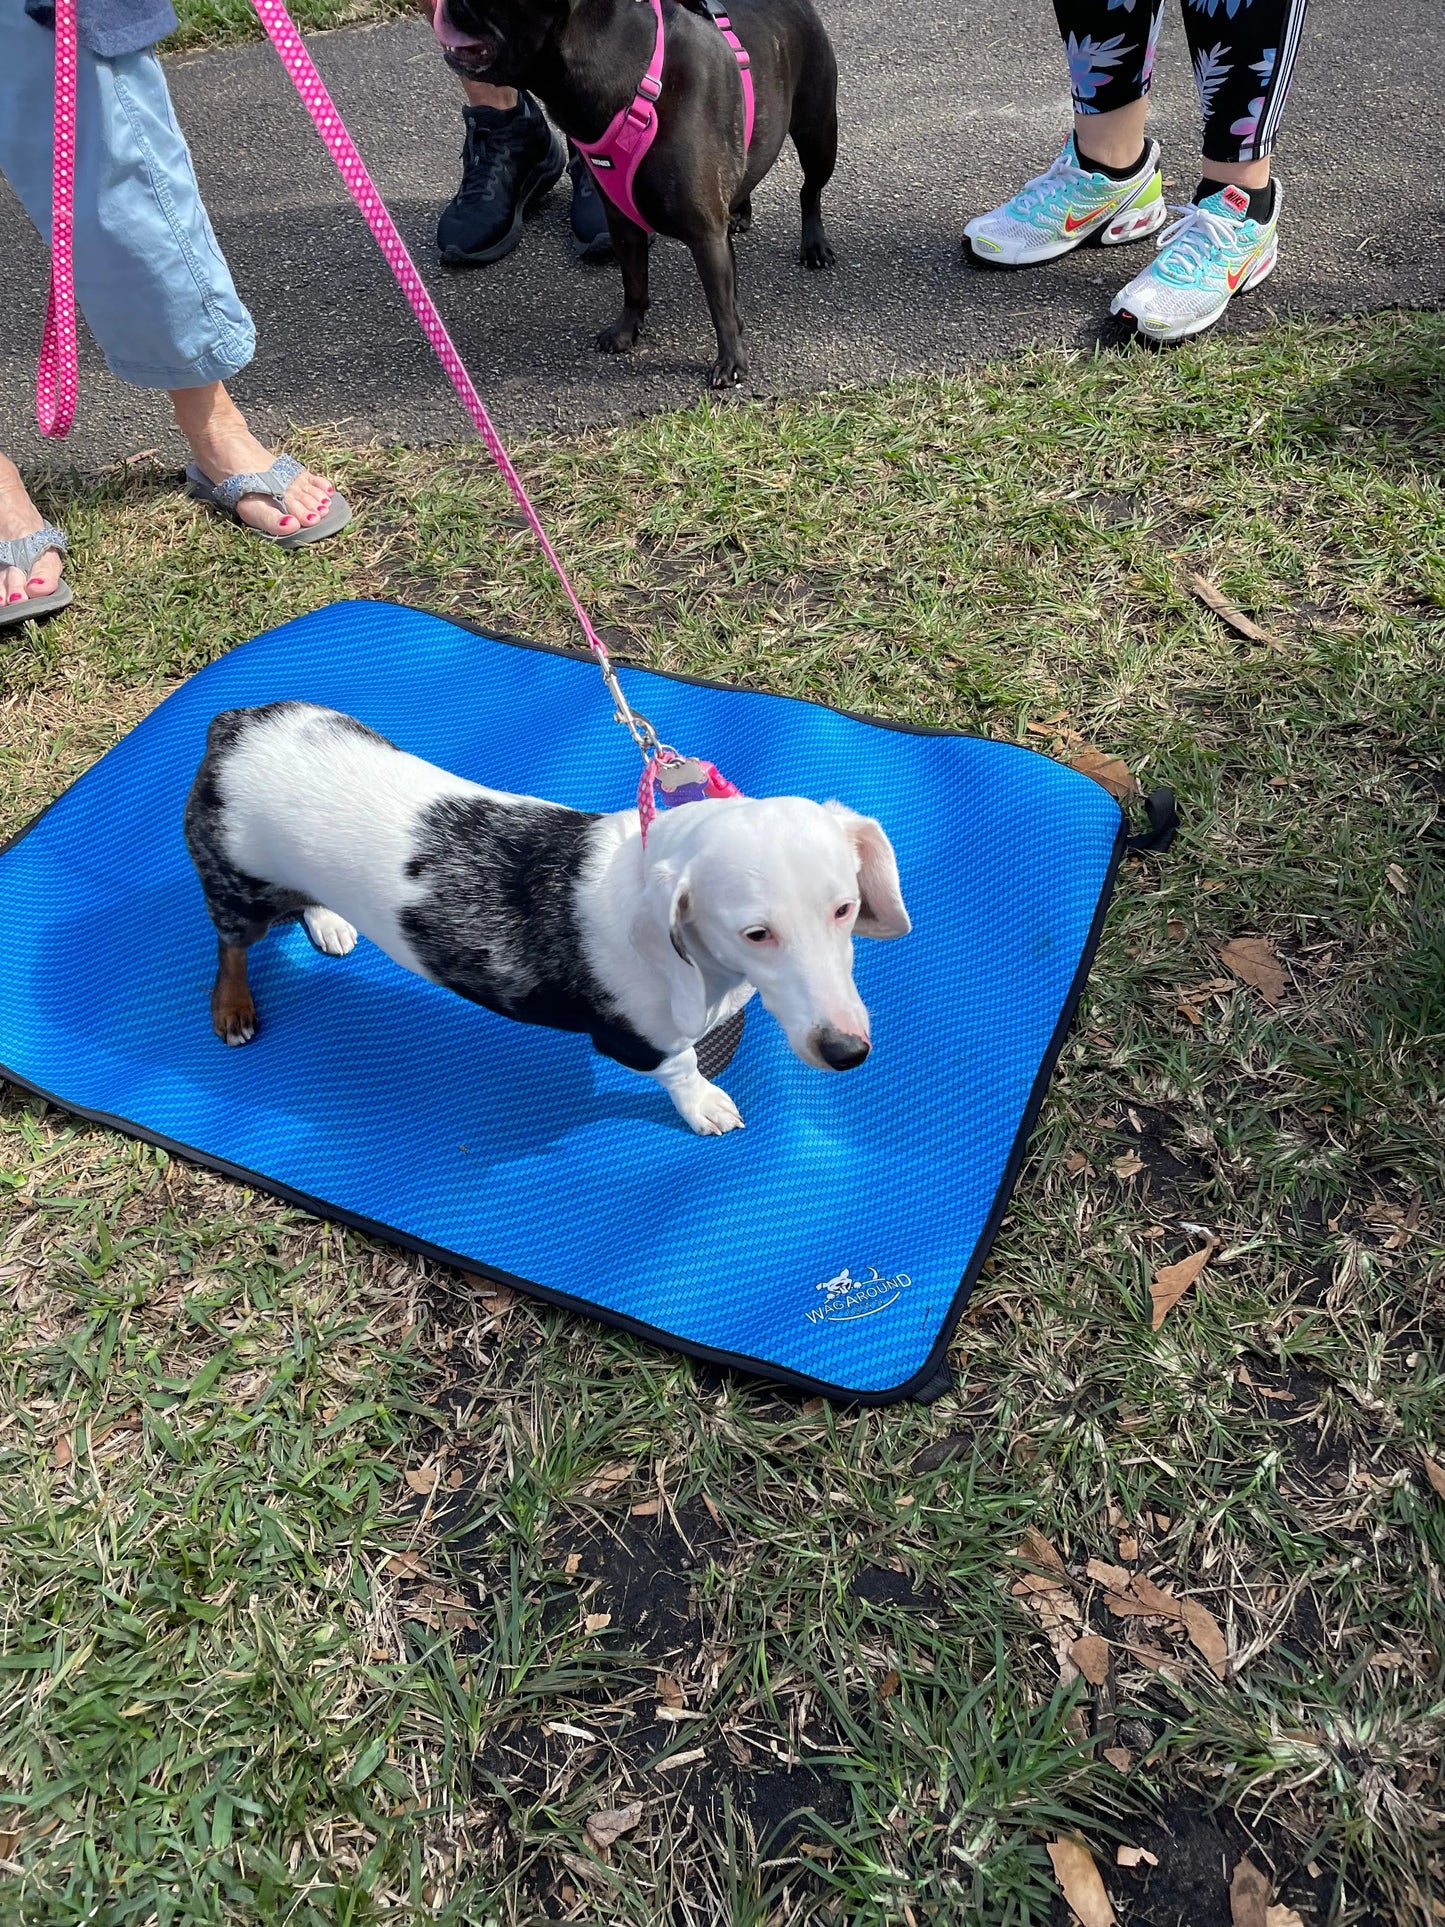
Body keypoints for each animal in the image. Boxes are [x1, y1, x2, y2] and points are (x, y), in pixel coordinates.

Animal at [433, 0, 836, 387]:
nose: (445, 5)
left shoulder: (706, 236)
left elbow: (720, 304)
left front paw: (731, 361)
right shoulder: (622, 225)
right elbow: (634, 282)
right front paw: (626, 332)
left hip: (818, 136)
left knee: (810, 191)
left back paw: (814, 245)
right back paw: (740, 212)